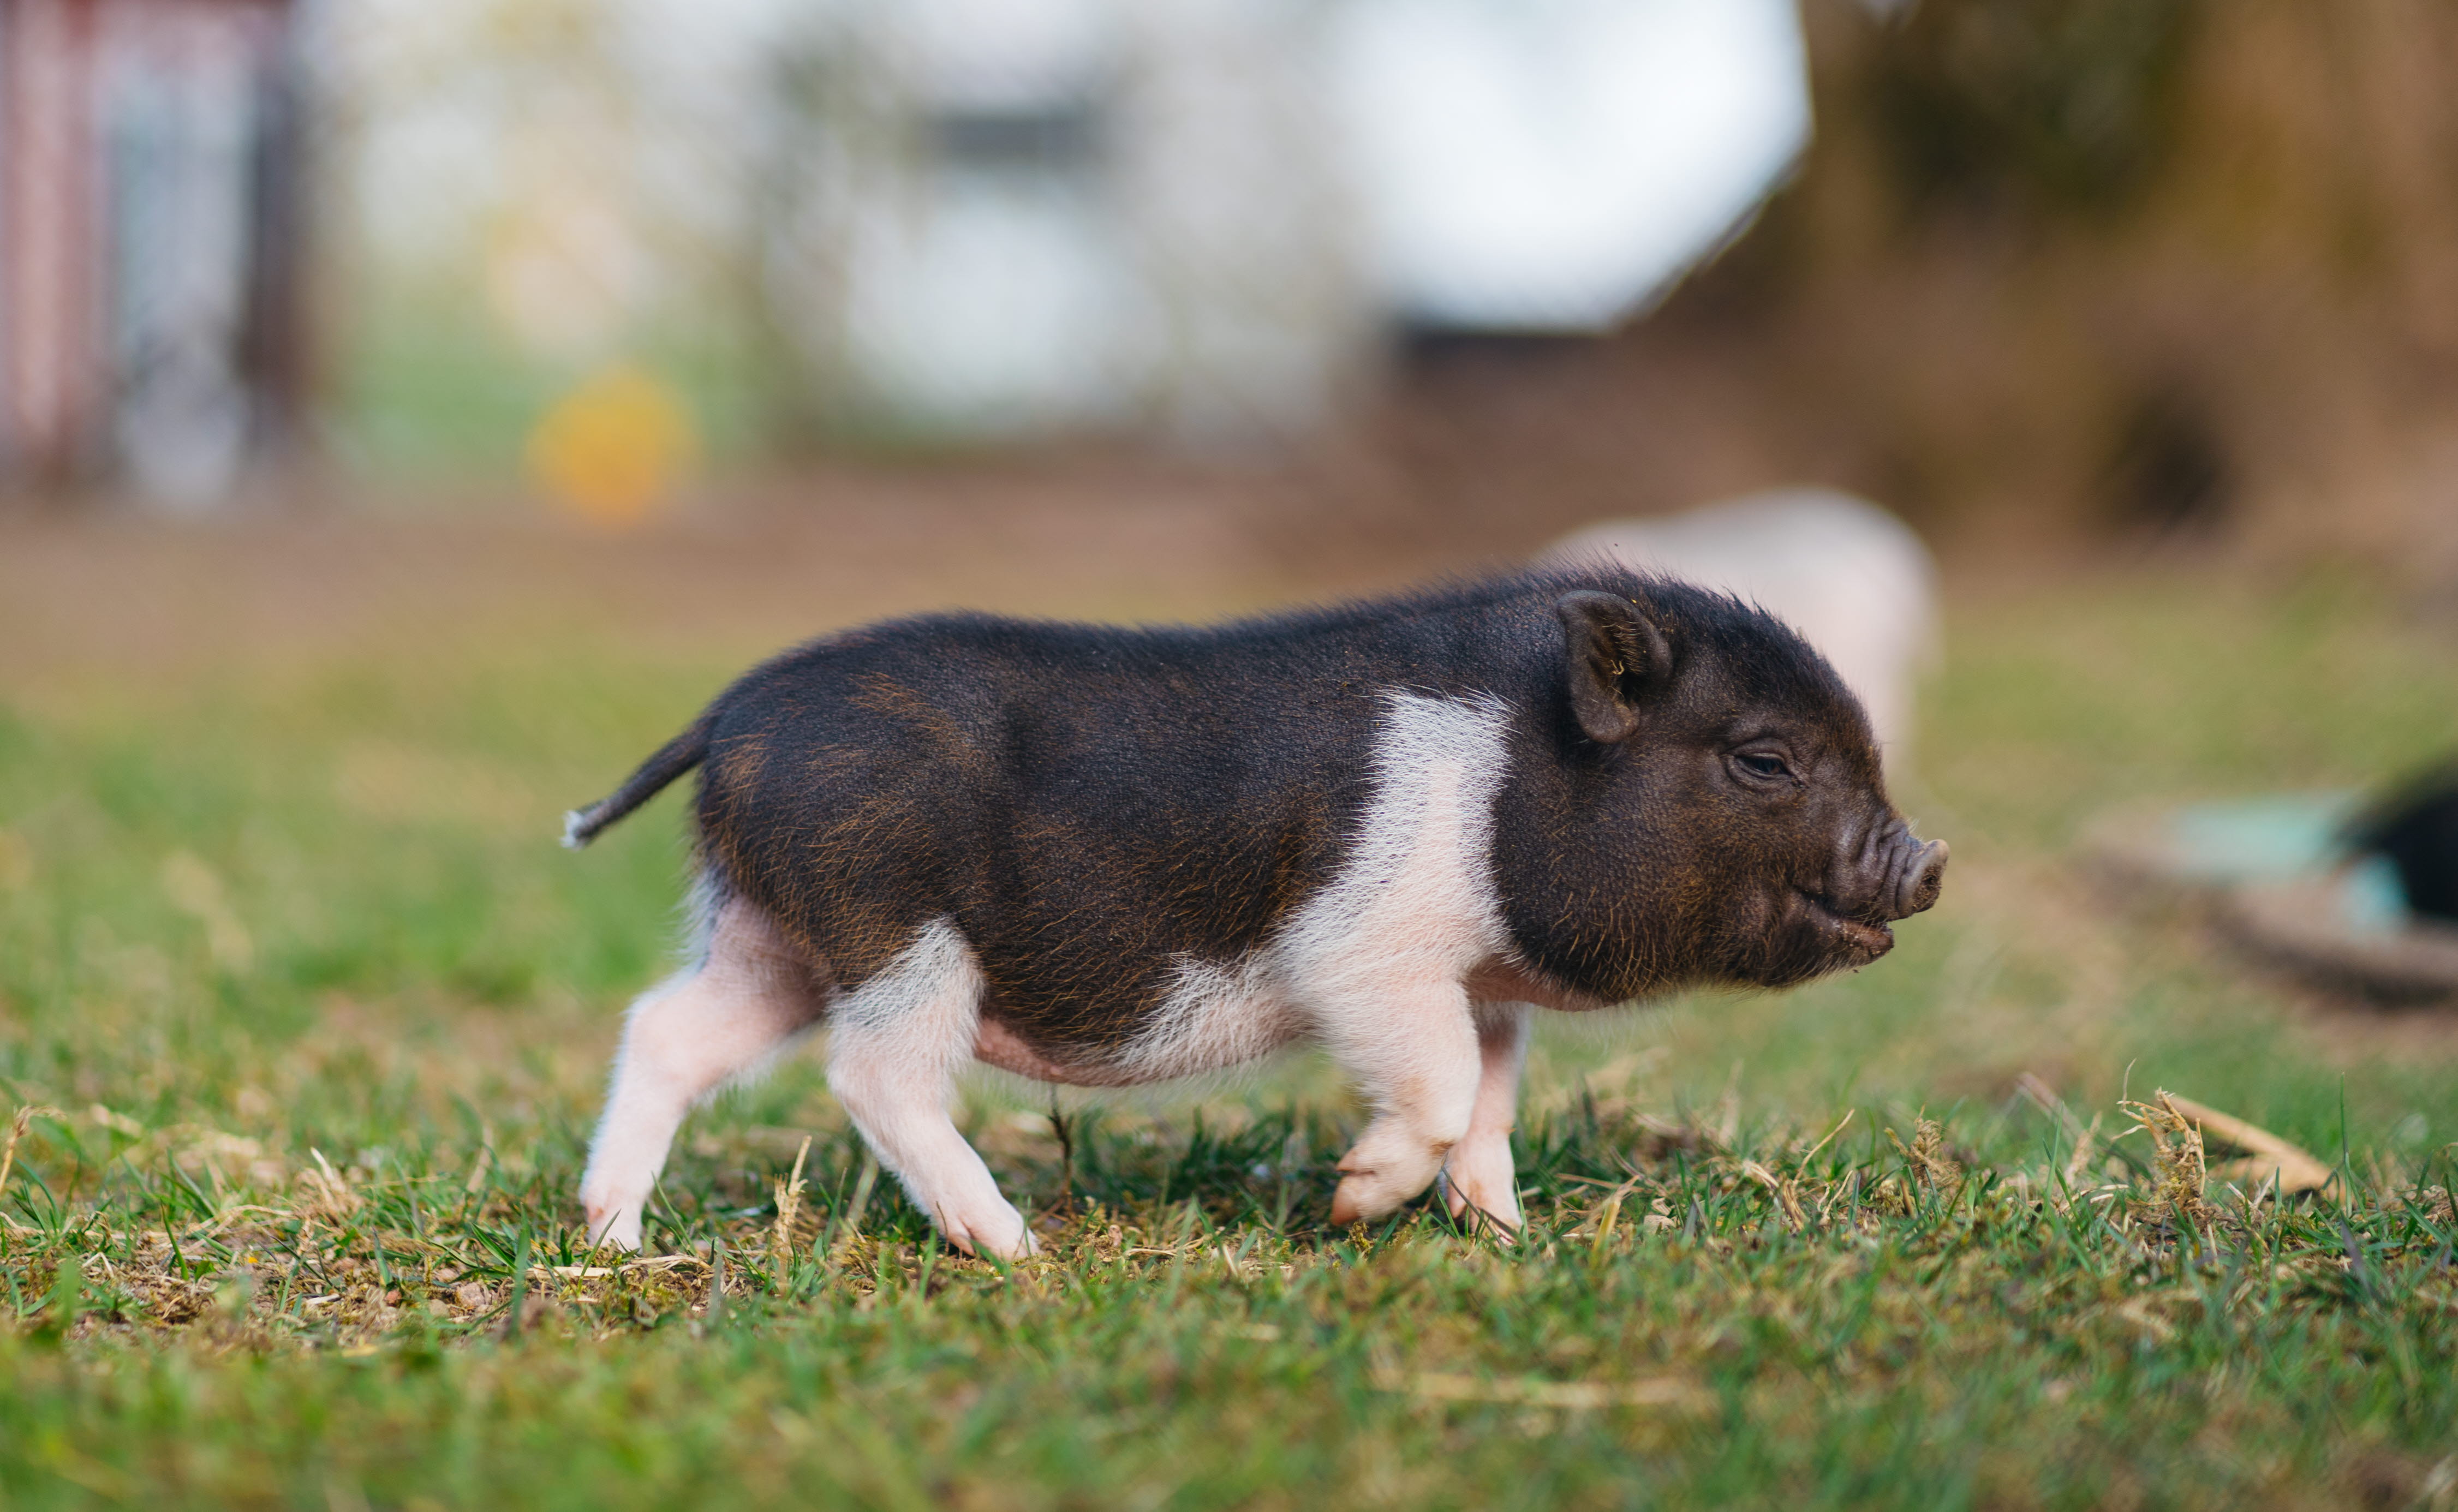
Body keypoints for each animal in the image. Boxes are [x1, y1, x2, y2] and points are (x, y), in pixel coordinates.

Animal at [564, 567, 1947, 1259]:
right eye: (1762, 760)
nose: (1928, 862)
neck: (1516, 774)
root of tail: (733, 710)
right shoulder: (1363, 955)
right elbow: (1441, 1081)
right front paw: (1351, 1203)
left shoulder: (1480, 981)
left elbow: (1492, 1096)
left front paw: (1501, 1234)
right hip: (895, 929)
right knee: (874, 1074)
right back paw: (1014, 1246)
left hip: (779, 934)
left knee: (665, 1028)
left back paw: (616, 1238)